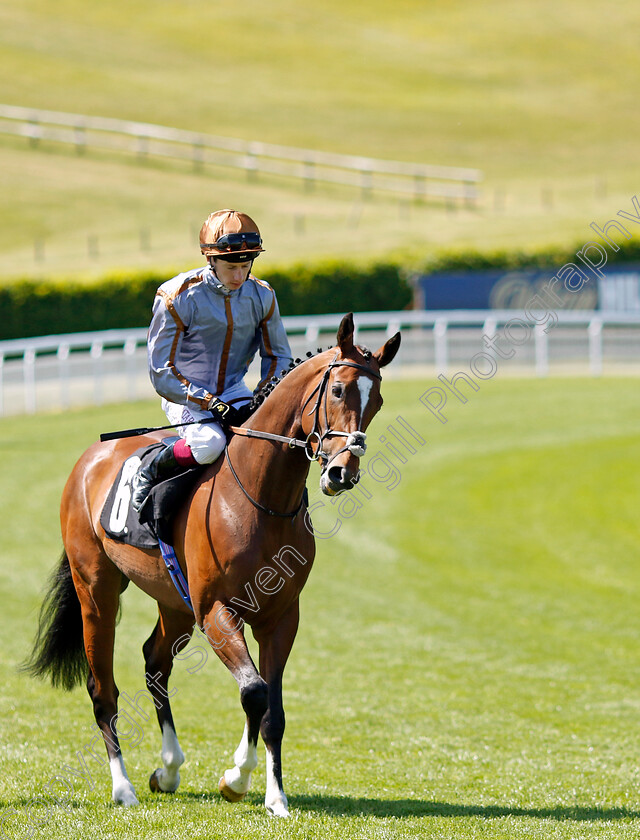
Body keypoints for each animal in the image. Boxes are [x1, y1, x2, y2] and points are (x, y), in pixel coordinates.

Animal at [28, 312, 400, 816]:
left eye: (376, 400)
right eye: (339, 390)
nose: (343, 472)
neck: (261, 499)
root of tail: (90, 458)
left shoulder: (280, 616)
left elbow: (273, 709)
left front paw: (274, 796)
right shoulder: (216, 612)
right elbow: (254, 691)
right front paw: (237, 778)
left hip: (174, 604)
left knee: (155, 662)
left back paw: (168, 768)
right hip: (98, 592)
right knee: (103, 690)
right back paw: (123, 788)